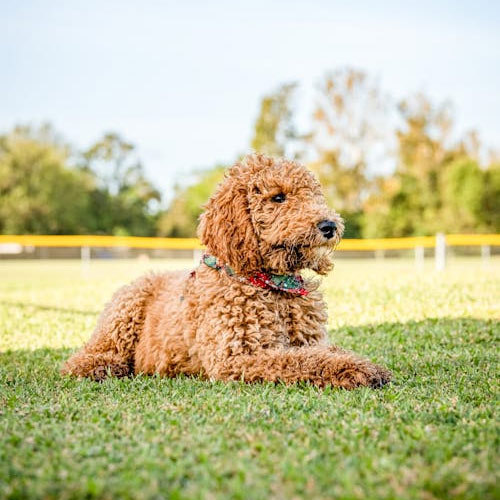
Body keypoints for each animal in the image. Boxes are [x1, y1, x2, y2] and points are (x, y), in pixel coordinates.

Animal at [61, 154, 390, 388]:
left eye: (313, 196)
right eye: (278, 197)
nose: (329, 226)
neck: (273, 286)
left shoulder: (310, 342)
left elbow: (323, 352)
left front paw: (359, 362)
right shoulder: (237, 357)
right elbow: (302, 361)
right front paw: (356, 369)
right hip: (125, 308)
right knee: (85, 356)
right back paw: (99, 367)